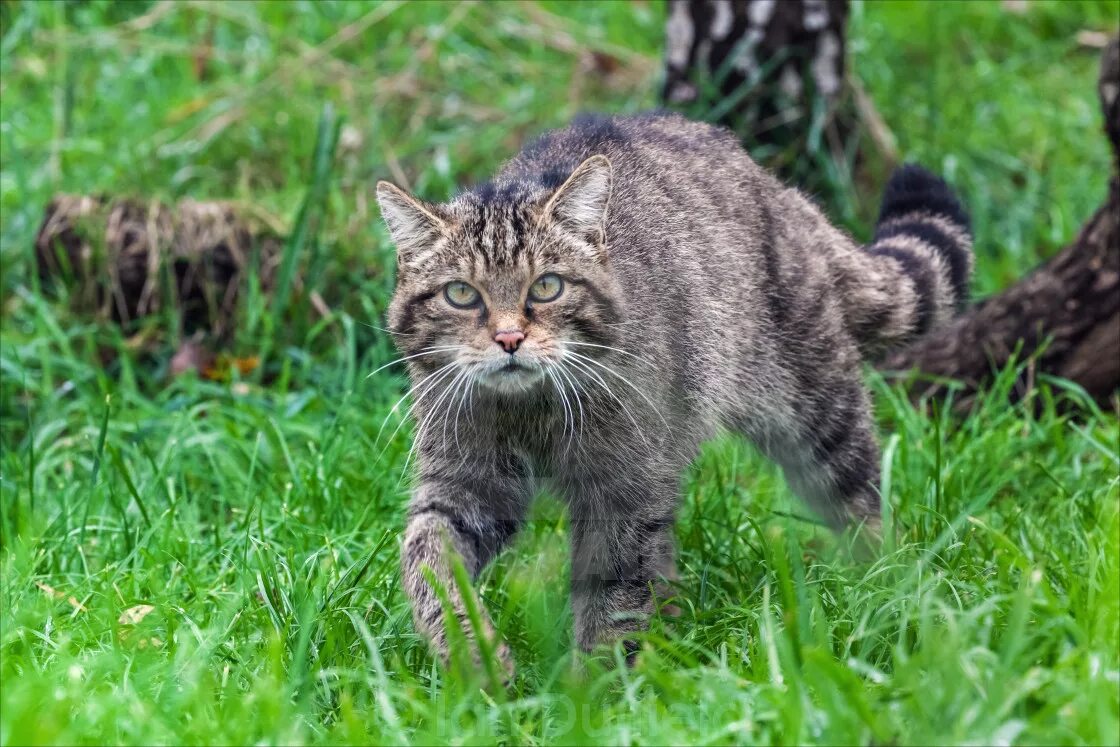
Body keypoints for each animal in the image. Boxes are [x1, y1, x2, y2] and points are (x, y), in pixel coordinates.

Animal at [376, 110, 972, 671]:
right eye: (460, 294)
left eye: (547, 286)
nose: (508, 338)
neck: (530, 411)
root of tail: (776, 189)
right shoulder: (463, 487)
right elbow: (425, 560)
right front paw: (471, 653)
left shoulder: (624, 491)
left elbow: (612, 596)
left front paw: (593, 688)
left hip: (818, 415)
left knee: (865, 504)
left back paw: (887, 589)